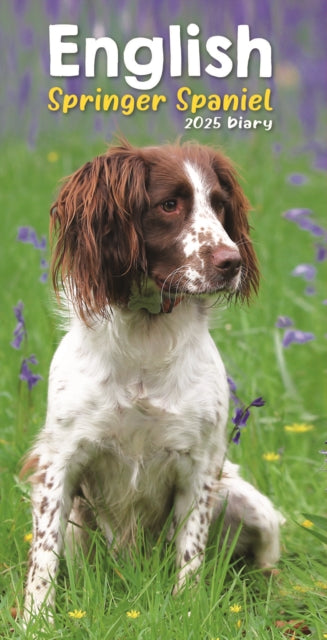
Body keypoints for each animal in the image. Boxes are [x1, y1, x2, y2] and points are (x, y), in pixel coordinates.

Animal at [23, 139, 284, 620]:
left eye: (219, 205)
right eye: (168, 205)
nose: (233, 261)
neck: (146, 335)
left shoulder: (201, 465)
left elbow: (190, 550)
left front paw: (188, 611)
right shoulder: (59, 461)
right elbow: (44, 555)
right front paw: (37, 619)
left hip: (248, 503)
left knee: (266, 558)